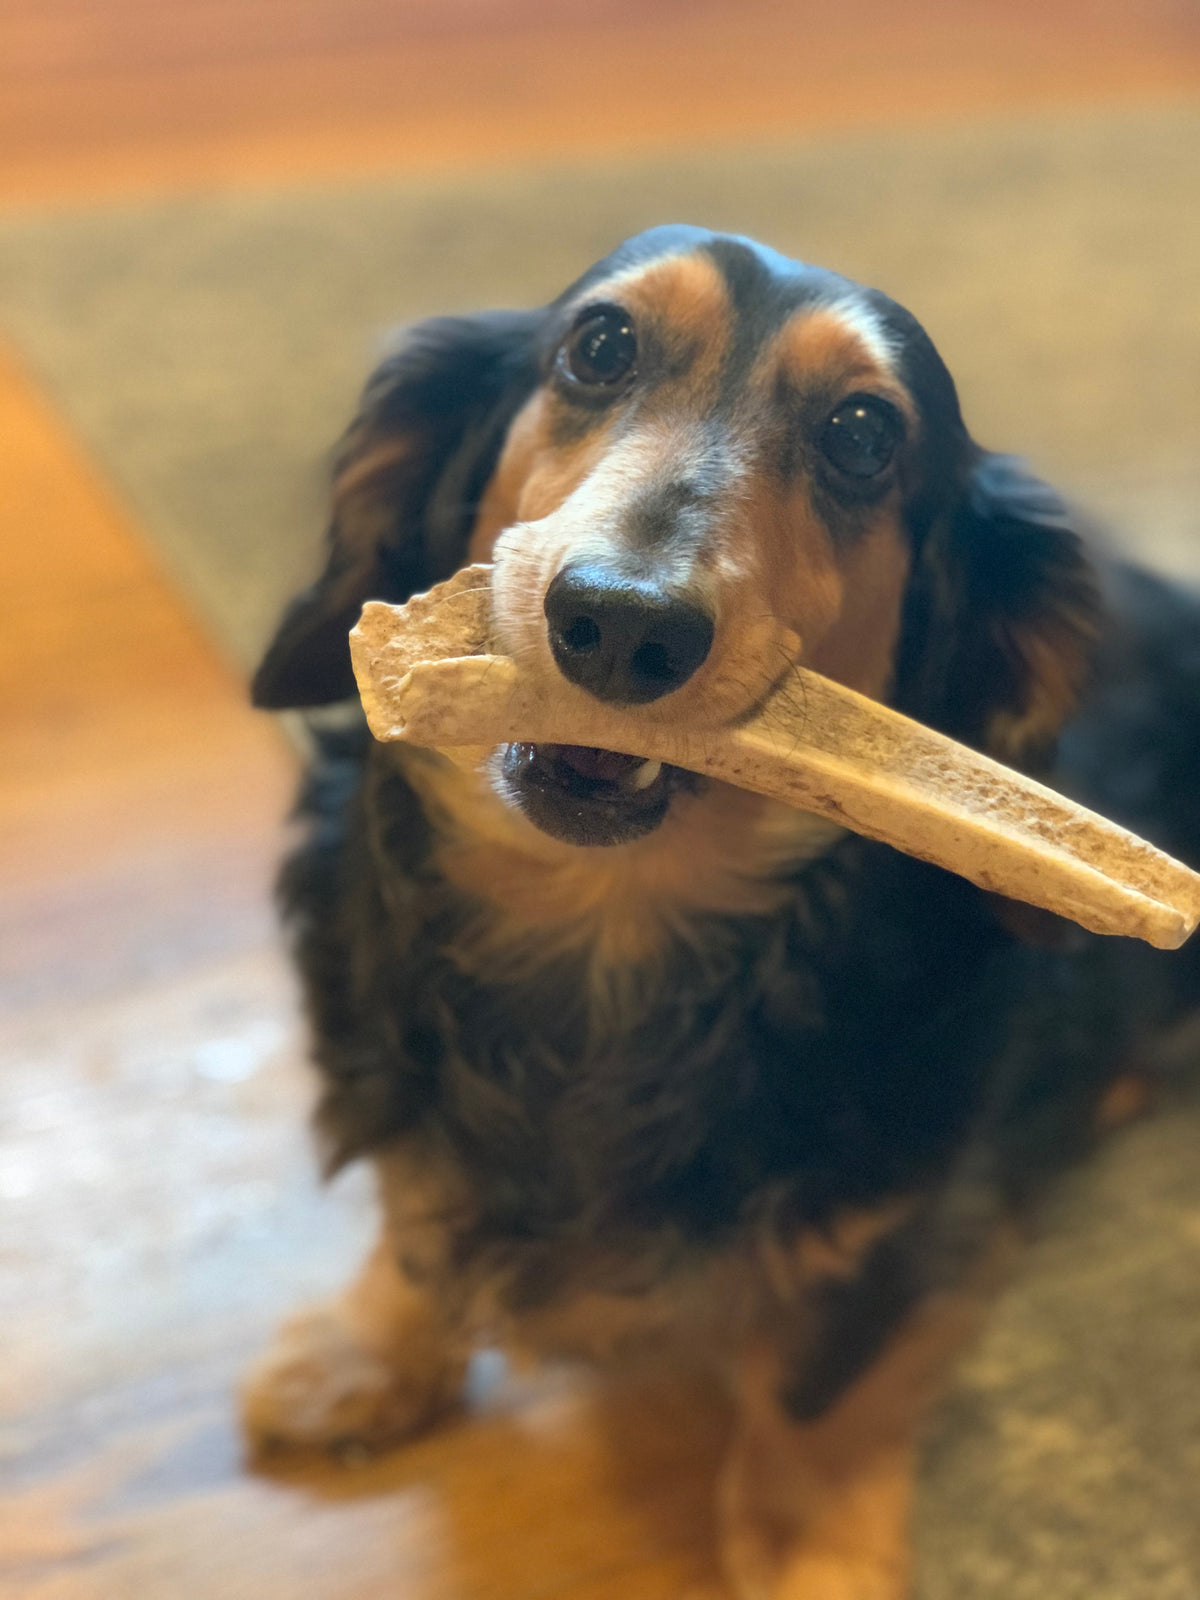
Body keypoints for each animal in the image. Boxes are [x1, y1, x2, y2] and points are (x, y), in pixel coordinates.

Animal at [240, 228, 1196, 1600]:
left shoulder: (896, 1218)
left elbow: (814, 1391)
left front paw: (810, 1550)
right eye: (599, 346)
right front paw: (368, 1355)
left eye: (863, 431)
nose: (619, 622)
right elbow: (420, 1217)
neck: (608, 940)